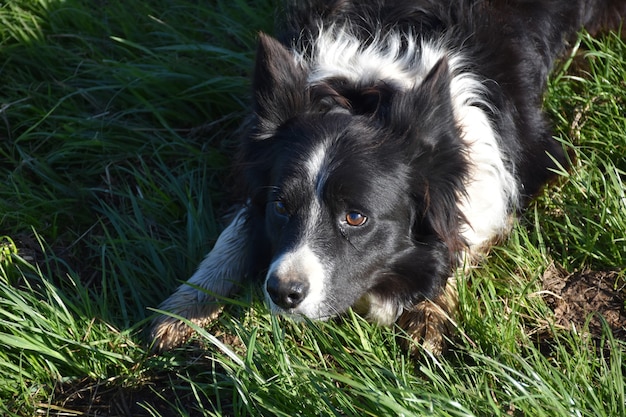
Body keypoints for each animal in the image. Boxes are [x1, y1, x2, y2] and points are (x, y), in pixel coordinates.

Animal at [149, 0, 620, 354]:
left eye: (356, 217)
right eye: (281, 206)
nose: (283, 293)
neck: (367, 94)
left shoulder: (534, 158)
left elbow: (462, 232)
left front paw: (429, 312)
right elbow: (233, 234)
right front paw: (186, 307)